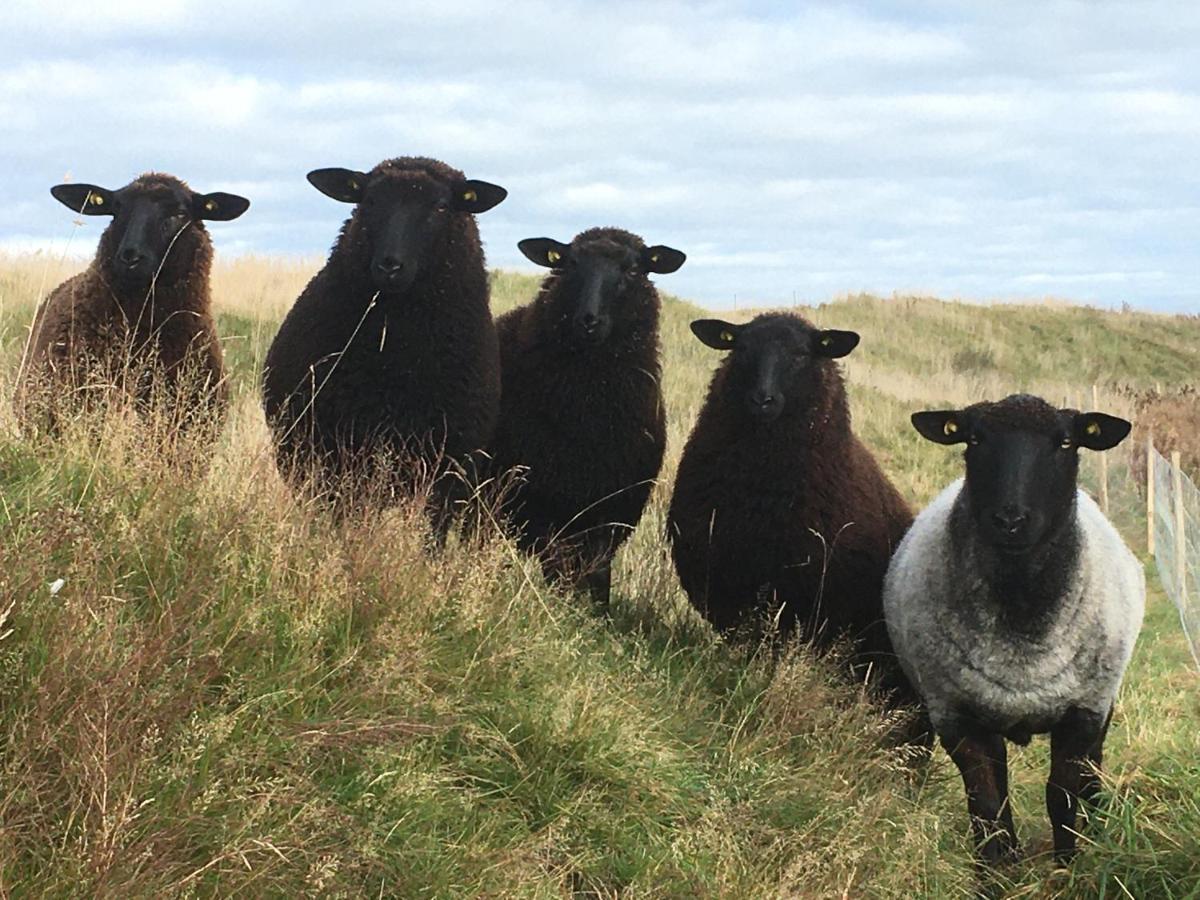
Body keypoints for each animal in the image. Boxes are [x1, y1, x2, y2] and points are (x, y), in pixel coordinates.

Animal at [262, 157, 506, 528]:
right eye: (370, 200)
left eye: (441, 206)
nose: (390, 265)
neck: (396, 360)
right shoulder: (339, 454)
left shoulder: (451, 465)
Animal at [489, 225, 686, 609]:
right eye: (571, 263)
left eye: (633, 269)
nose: (589, 320)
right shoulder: (537, 503)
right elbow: (558, 566)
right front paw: (559, 610)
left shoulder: (611, 508)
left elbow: (597, 574)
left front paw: (595, 615)